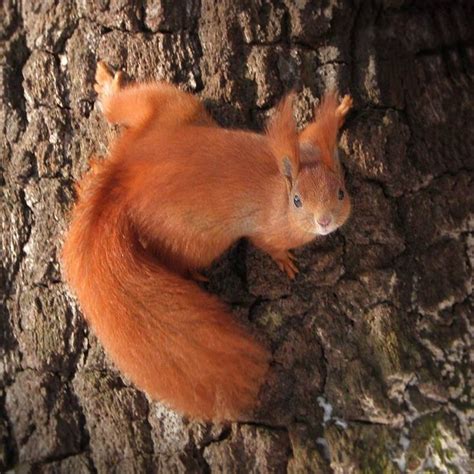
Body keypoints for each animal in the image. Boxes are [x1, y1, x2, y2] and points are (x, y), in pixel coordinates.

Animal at [62, 61, 352, 420]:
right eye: (298, 201)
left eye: (341, 192)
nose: (324, 221)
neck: (279, 188)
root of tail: (124, 180)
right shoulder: (266, 229)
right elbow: (268, 245)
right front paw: (284, 261)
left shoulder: (307, 146)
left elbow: (311, 133)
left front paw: (338, 111)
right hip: (196, 236)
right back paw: (191, 274)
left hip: (172, 110)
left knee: (129, 105)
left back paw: (108, 88)